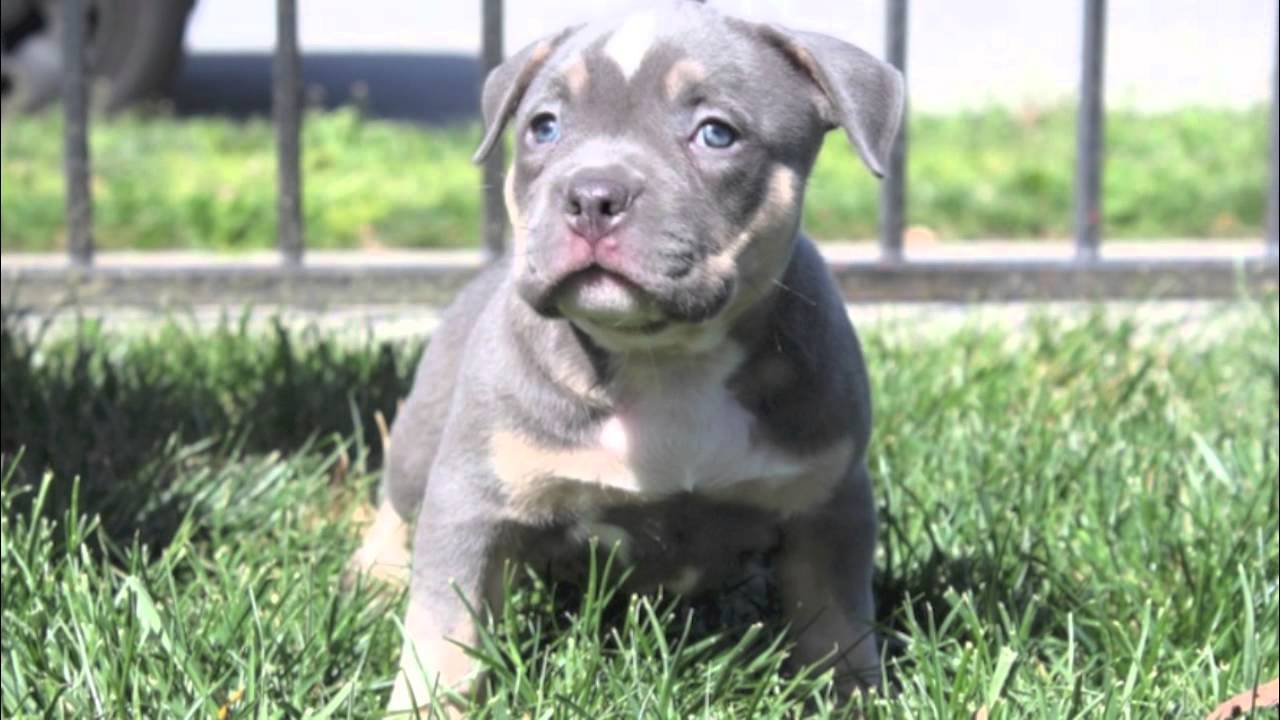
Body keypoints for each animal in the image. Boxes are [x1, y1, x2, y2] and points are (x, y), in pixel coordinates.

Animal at [350, 1, 906, 712]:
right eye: (544, 127)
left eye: (716, 134)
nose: (592, 193)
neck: (665, 355)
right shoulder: (471, 500)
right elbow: (444, 632)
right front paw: (425, 703)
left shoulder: (828, 500)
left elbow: (837, 624)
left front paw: (851, 695)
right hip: (421, 442)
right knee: (396, 503)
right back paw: (373, 575)